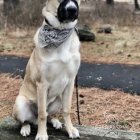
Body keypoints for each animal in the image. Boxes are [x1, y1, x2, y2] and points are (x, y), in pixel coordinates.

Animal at [12, 0, 81, 140]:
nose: (72, 10)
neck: (60, 32)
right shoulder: (42, 84)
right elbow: (42, 113)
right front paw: (42, 134)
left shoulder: (70, 82)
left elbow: (66, 110)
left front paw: (70, 129)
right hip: (20, 103)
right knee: (26, 120)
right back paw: (25, 128)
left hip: (58, 99)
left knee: (49, 114)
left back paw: (55, 121)